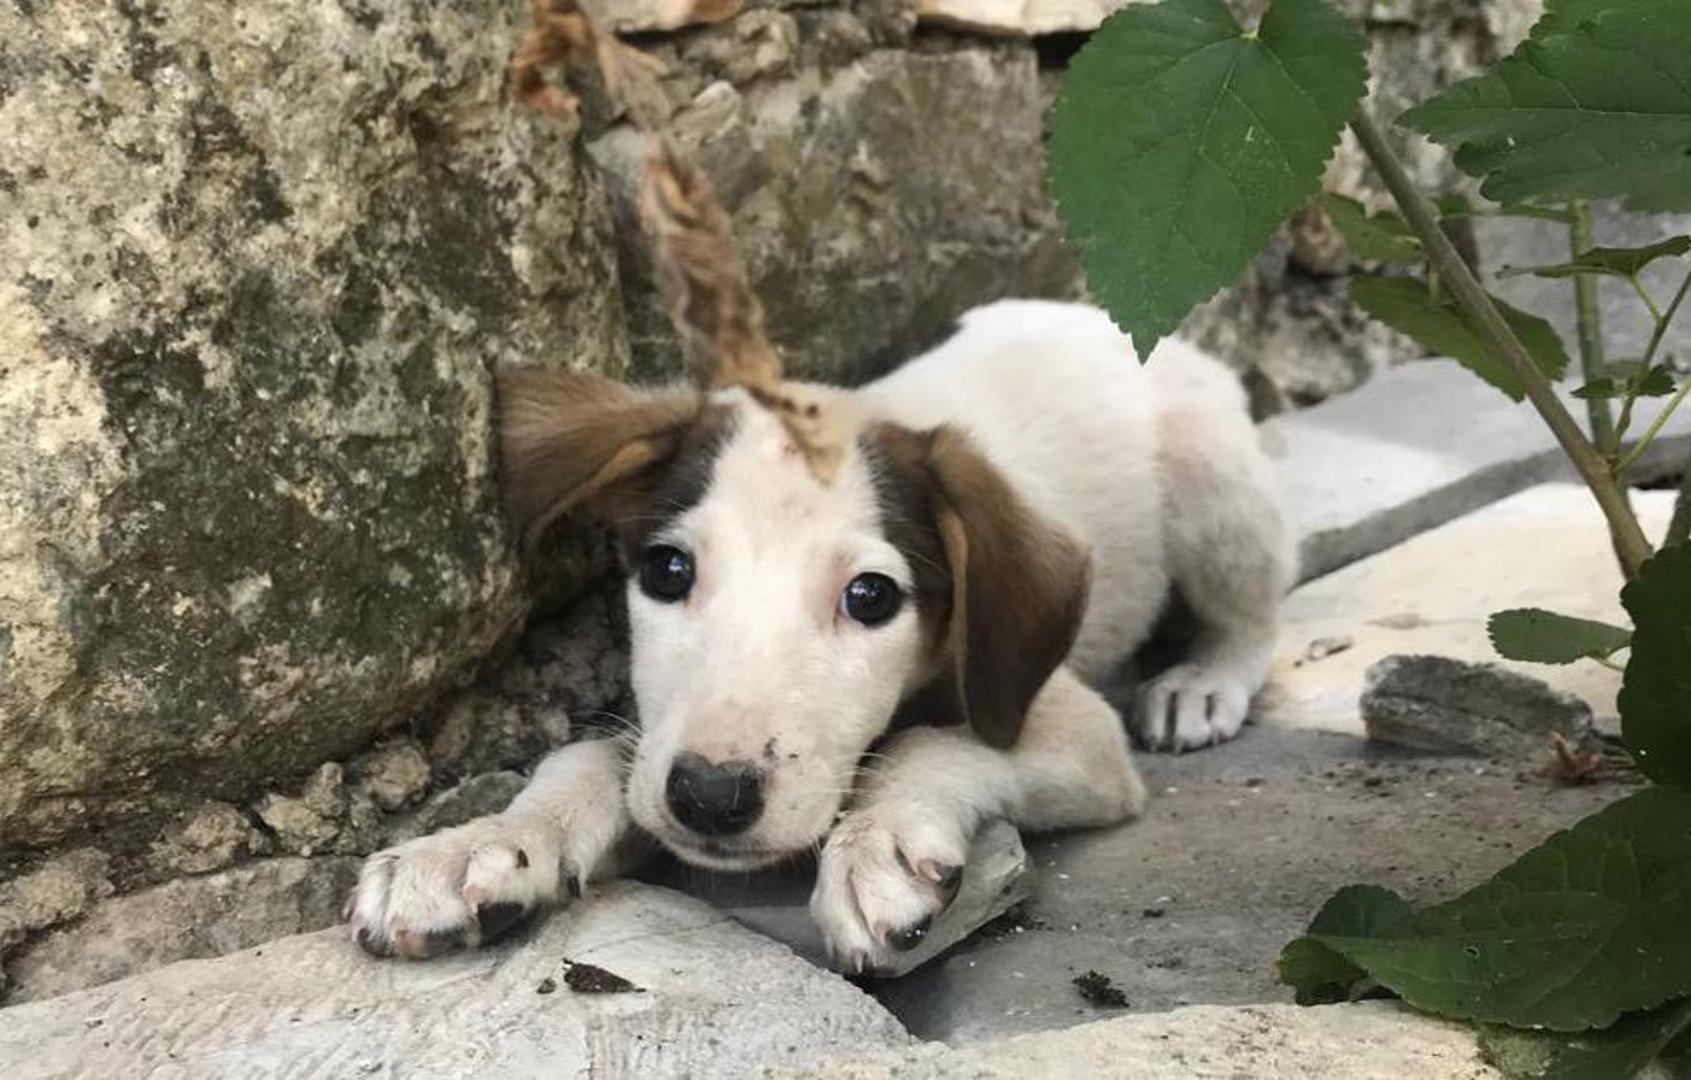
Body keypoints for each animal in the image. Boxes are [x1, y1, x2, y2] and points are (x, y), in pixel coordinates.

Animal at [346, 295, 1291, 973]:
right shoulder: (659, 740)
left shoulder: (1067, 728)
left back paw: (1203, 681)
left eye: (870, 596)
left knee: (1253, 607)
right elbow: (586, 760)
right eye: (667, 572)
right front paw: (479, 844)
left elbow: (927, 743)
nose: (710, 799)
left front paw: (877, 846)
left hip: (1209, 487)